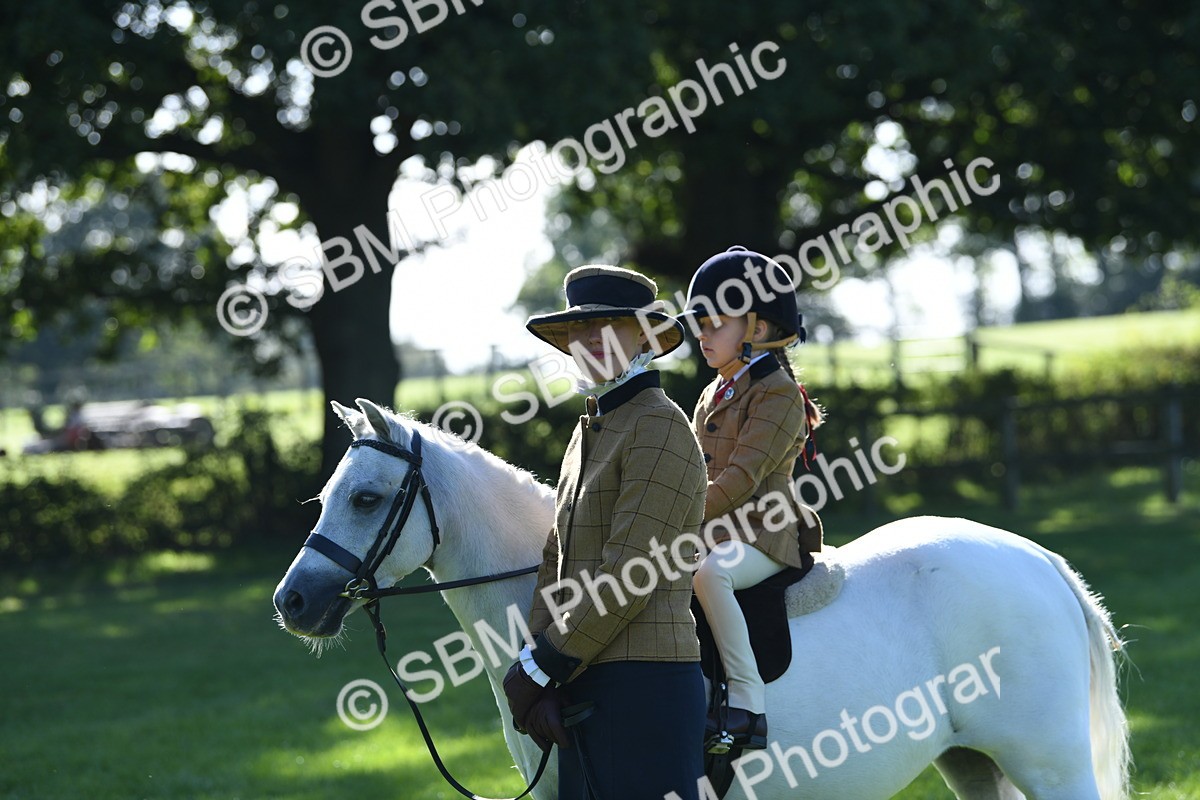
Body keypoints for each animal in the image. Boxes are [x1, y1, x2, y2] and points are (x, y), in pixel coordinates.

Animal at [273, 399, 1130, 800]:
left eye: (367, 498)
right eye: (327, 495)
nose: (293, 602)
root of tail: (1038, 561)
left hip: (1049, 764)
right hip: (974, 763)